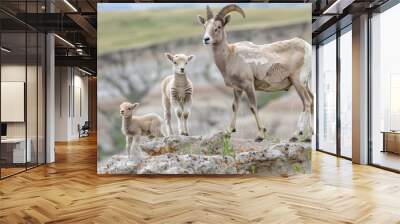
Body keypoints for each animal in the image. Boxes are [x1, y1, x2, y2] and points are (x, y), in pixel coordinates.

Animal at [198, 4, 314, 142]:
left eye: (218, 27)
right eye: (205, 26)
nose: (206, 39)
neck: (230, 56)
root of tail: (307, 47)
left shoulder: (248, 85)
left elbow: (253, 107)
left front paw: (260, 135)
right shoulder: (238, 89)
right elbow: (235, 106)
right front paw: (229, 131)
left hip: (297, 81)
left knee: (306, 102)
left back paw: (296, 135)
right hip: (306, 83)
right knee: (312, 101)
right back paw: (309, 136)